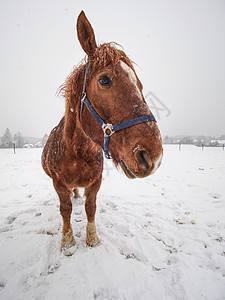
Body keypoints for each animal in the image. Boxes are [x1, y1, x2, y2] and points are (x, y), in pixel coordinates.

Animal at [41, 10, 163, 250]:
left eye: (139, 85)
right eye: (104, 80)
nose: (154, 157)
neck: (77, 154)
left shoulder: (95, 183)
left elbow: (91, 207)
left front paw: (92, 239)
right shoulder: (58, 183)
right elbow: (65, 210)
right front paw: (67, 242)